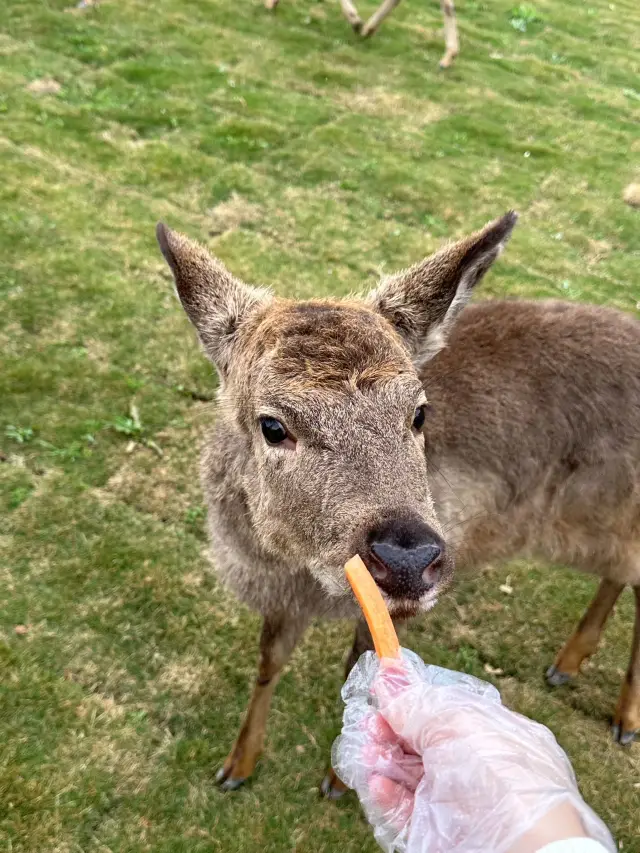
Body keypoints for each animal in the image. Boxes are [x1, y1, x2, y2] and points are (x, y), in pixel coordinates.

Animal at [156, 210, 640, 796]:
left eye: (419, 413)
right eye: (272, 425)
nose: (408, 558)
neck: (296, 573)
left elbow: (368, 673)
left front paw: (342, 781)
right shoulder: (282, 595)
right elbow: (269, 661)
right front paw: (237, 766)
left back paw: (624, 718)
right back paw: (567, 664)